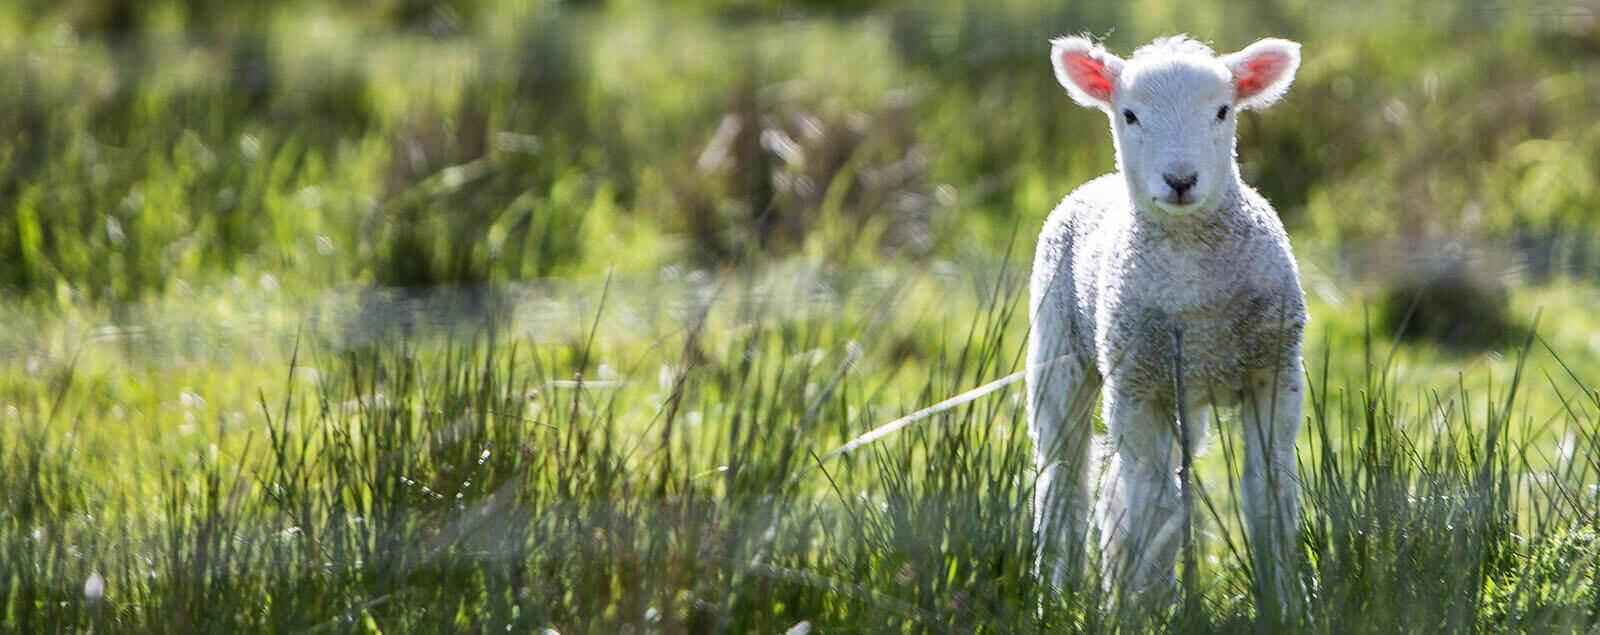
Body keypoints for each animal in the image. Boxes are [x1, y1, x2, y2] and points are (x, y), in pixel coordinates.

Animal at [1024, 35, 1312, 607]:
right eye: (1130, 115)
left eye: (1222, 111)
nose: (1180, 180)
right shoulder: (1137, 389)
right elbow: (1154, 503)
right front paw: (1149, 606)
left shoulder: (1274, 373)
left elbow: (1268, 490)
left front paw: (1282, 599)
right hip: (1058, 350)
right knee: (1065, 476)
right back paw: (1058, 591)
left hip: (1183, 393)